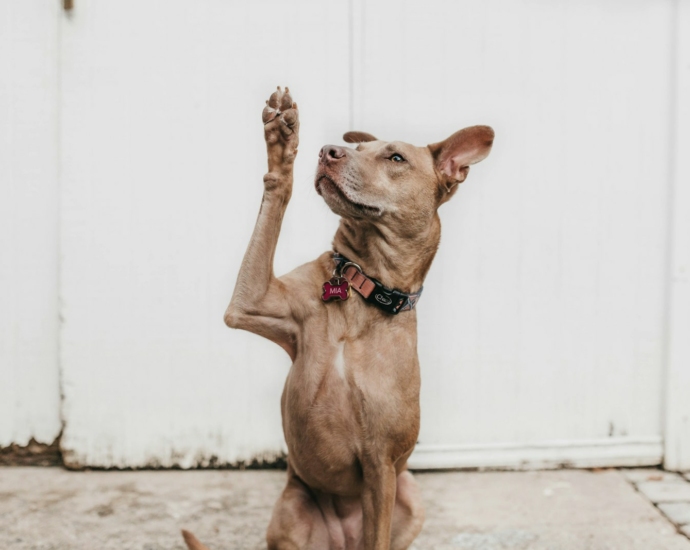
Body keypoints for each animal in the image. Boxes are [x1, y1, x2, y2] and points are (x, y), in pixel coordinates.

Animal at [183, 87, 492, 550]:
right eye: (358, 148)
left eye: (395, 157)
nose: (329, 151)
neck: (362, 289)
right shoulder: (249, 302)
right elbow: (275, 195)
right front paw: (281, 143)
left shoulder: (381, 465)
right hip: (292, 510)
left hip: (409, 495)